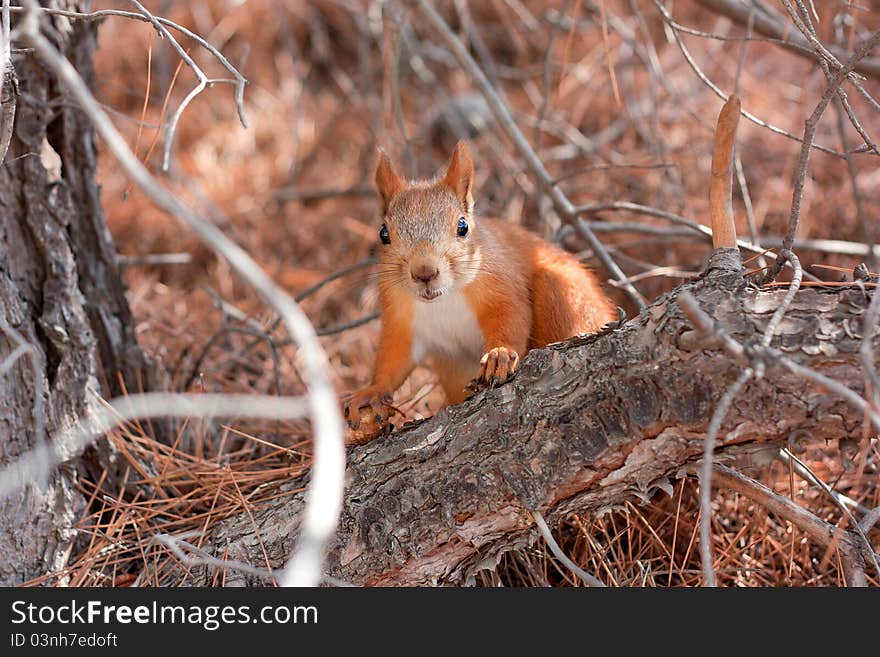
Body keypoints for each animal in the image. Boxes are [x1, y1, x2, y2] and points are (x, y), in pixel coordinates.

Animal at [340, 141, 616, 444]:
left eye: (463, 226)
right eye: (383, 233)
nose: (424, 273)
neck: (443, 301)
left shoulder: (501, 286)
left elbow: (512, 316)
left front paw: (499, 355)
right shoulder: (401, 316)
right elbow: (394, 359)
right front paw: (371, 392)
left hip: (562, 290)